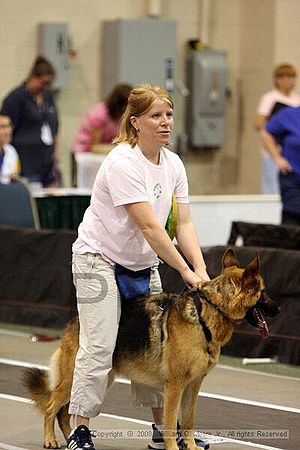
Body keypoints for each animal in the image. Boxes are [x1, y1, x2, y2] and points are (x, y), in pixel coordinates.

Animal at [22, 250, 278, 450]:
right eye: (263, 292)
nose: (279, 309)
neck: (206, 315)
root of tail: (74, 322)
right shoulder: (175, 386)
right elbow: (171, 421)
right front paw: (173, 447)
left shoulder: (193, 387)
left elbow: (188, 422)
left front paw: (191, 446)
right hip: (79, 377)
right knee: (52, 407)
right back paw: (51, 439)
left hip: (102, 378)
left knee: (66, 413)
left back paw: (71, 439)